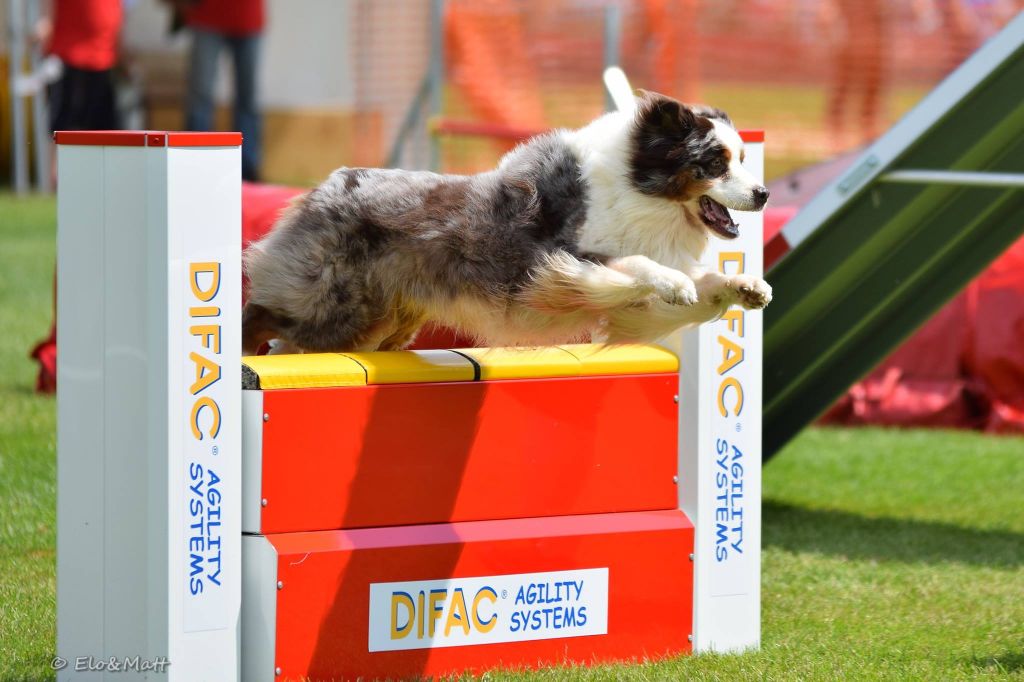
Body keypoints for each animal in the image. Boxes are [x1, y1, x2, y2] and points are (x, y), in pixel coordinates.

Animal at [241, 90, 770, 352]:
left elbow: (705, 281)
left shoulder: (629, 304)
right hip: (333, 308)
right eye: (716, 162)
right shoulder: (560, 261)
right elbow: (640, 265)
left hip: (375, 326)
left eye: (744, 159)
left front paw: (746, 286)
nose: (764, 194)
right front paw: (674, 283)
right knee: (264, 315)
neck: (641, 192)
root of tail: (325, 186)